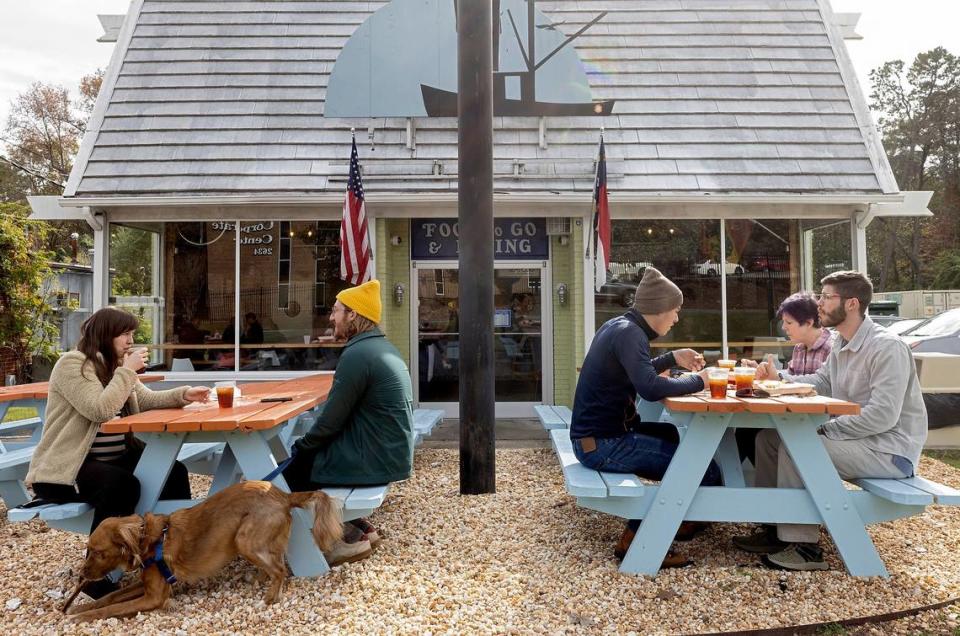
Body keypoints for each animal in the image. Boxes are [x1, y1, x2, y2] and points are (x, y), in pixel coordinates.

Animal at [64, 482, 342, 620]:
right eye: (88, 550)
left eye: (98, 552)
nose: (82, 575)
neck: (148, 541)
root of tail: (282, 495)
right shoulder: (147, 584)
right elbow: (110, 597)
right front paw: (79, 608)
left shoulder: (155, 596)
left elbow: (111, 608)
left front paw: (79, 617)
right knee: (274, 563)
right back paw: (259, 579)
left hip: (244, 539)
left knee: (280, 569)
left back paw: (270, 597)